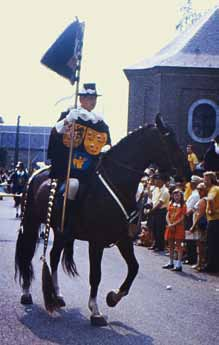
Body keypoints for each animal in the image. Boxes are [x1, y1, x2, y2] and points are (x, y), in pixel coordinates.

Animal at [15, 115, 190, 326]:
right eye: (169, 138)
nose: (187, 172)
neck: (118, 183)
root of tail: (36, 174)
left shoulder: (123, 239)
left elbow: (134, 268)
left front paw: (113, 297)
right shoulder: (96, 242)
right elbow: (96, 276)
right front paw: (96, 311)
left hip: (61, 232)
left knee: (54, 257)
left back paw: (57, 295)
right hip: (31, 222)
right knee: (27, 253)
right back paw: (26, 293)